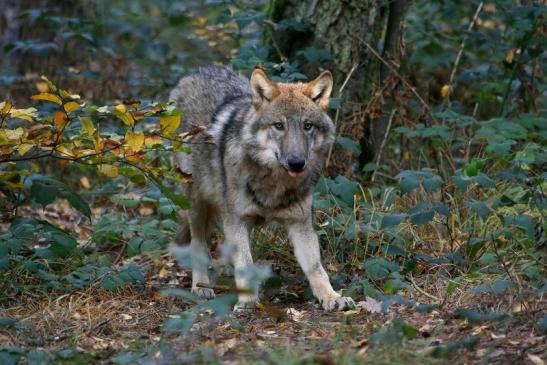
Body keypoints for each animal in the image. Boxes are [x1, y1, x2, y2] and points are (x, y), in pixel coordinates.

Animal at [168, 66, 356, 310]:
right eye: (279, 126)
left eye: (307, 126)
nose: (296, 163)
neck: (274, 182)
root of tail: (197, 71)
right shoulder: (237, 220)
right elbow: (245, 264)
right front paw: (247, 301)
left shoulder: (301, 224)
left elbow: (316, 268)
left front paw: (332, 297)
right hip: (196, 204)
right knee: (198, 244)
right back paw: (201, 286)